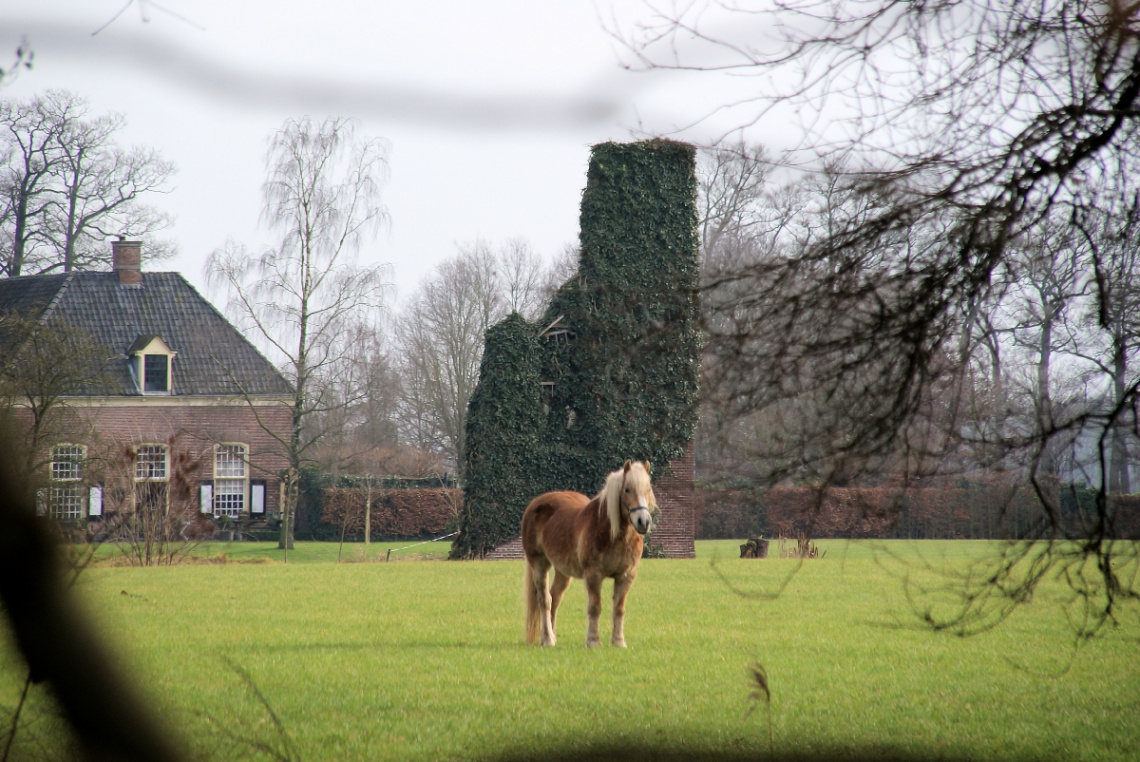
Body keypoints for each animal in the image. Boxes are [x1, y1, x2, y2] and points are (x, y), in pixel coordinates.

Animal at [522, 460, 656, 647]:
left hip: (563, 571)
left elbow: (619, 609)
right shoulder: (594, 575)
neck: (613, 534)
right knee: (545, 600)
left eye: (648, 489)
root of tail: (535, 503)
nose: (643, 522)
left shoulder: (626, 576)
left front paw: (618, 641)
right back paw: (547, 639)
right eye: (627, 489)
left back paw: (552, 637)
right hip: (539, 564)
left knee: (555, 598)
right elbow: (595, 607)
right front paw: (593, 641)